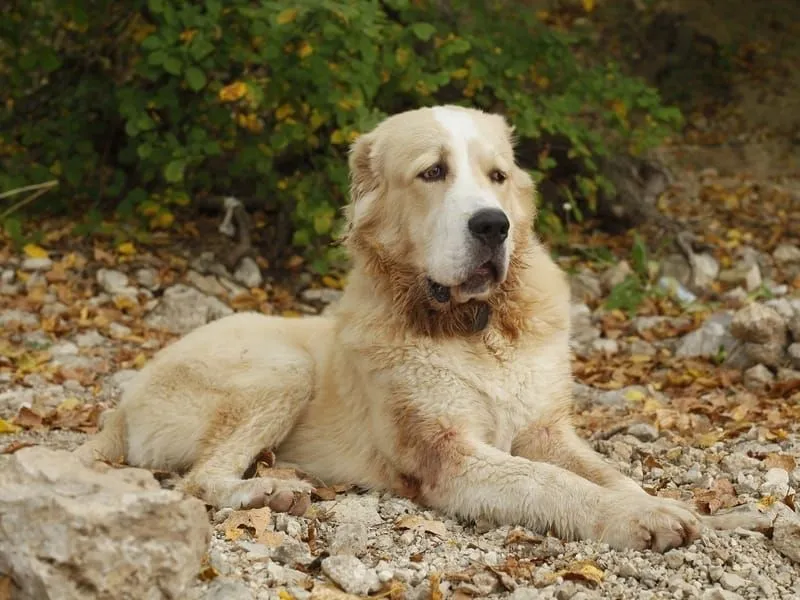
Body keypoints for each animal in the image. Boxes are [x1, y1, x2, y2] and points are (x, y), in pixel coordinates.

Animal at [76, 105, 752, 552]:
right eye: (433, 173)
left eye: (498, 176)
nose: (493, 225)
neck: (477, 328)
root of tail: (122, 405)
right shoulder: (446, 454)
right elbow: (550, 481)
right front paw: (638, 520)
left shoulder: (546, 430)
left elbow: (607, 471)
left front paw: (679, 508)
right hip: (282, 368)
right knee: (199, 481)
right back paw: (265, 495)